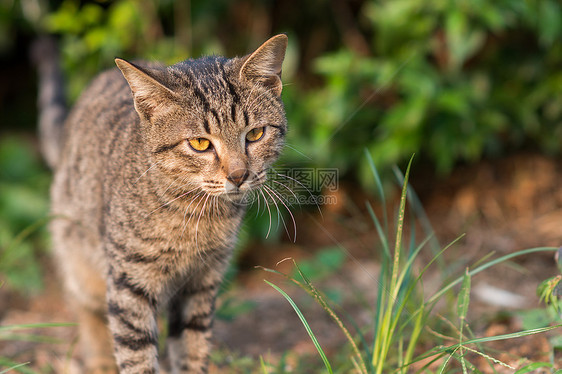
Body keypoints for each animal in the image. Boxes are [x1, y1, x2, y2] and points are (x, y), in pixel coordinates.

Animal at [37, 33, 286, 372]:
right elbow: (137, 354)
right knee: (90, 316)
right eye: (200, 143)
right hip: (80, 262)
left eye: (256, 134)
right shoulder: (130, 284)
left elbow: (192, 347)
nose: (238, 175)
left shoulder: (201, 283)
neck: (197, 215)